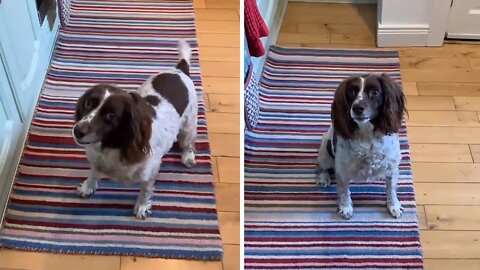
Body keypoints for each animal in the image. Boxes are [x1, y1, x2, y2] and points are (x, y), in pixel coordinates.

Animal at [73, 40, 197, 219]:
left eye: (111, 115)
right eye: (89, 103)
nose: (77, 130)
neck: (112, 145)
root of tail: (180, 69)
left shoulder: (149, 173)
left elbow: (145, 192)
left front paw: (142, 207)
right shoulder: (96, 160)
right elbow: (93, 173)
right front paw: (88, 187)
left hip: (189, 126)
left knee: (187, 143)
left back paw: (187, 156)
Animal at [316, 73, 406, 219]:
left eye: (375, 91)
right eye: (351, 92)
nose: (357, 108)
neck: (367, 134)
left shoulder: (392, 167)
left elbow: (391, 189)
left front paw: (394, 206)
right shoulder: (342, 171)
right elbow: (344, 192)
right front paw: (346, 208)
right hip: (325, 150)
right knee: (323, 166)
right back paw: (323, 178)